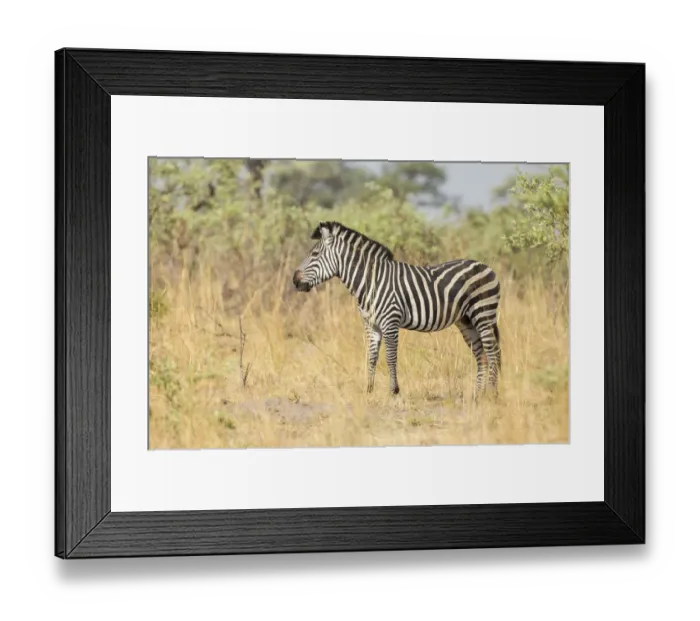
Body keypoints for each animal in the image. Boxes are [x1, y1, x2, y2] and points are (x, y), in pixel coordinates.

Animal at [292, 221, 502, 398]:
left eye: (314, 254)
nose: (294, 280)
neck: (370, 282)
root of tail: (486, 266)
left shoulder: (390, 322)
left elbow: (390, 357)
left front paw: (393, 391)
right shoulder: (371, 325)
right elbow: (372, 357)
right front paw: (369, 391)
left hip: (483, 313)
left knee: (492, 352)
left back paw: (491, 393)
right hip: (466, 320)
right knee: (481, 355)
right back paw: (477, 395)